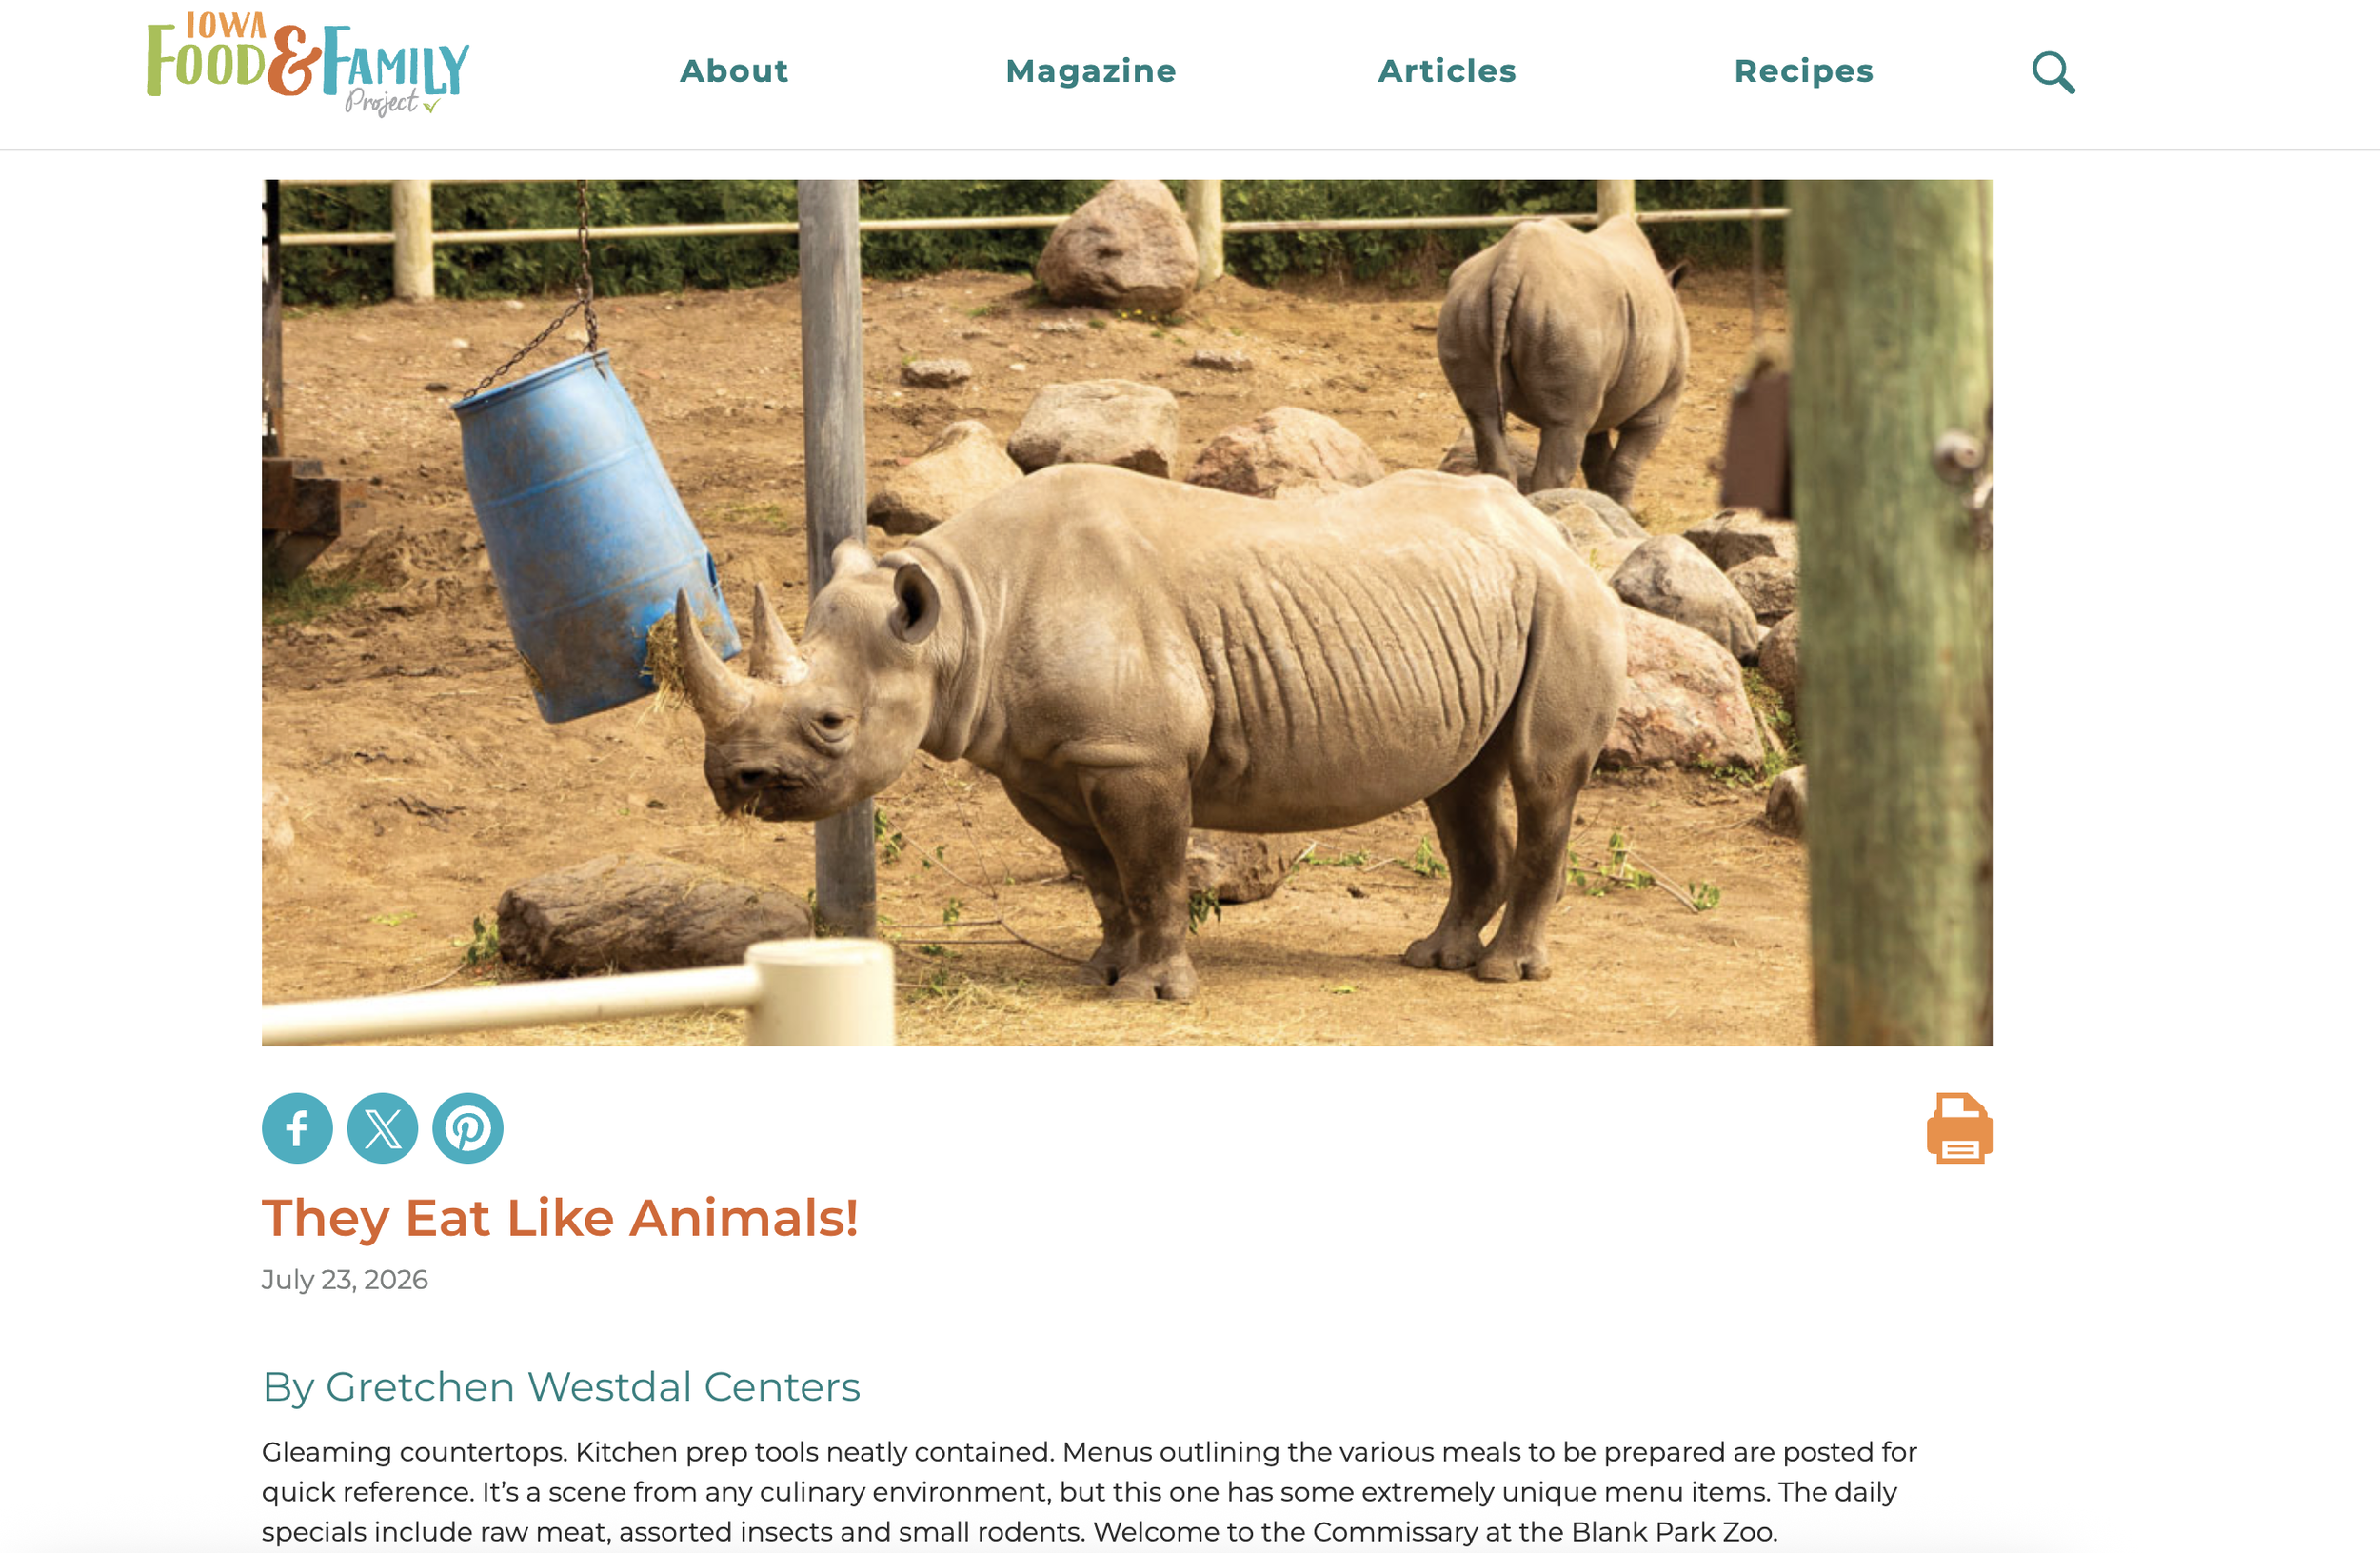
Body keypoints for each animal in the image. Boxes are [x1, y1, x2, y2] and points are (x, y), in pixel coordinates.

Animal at [673, 465, 1628, 1002]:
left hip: (1568, 601)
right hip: (1493, 599)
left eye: (831, 722)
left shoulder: (1137, 754)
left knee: (1542, 777)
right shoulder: (1046, 760)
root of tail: (1552, 531)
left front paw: (1153, 991)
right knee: (1460, 783)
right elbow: (1104, 876)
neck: (963, 618)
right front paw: (1101, 969)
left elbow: (1155, 869)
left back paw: (1505, 973)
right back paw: (1434, 958)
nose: (732, 780)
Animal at [1437, 215, 1691, 505]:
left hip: (1466, 304)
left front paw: (1604, 502)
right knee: (1564, 426)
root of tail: (1509, 266)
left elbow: (1597, 459)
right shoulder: (1660, 406)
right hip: (1569, 316)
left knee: (1483, 413)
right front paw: (1625, 510)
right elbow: (1625, 465)